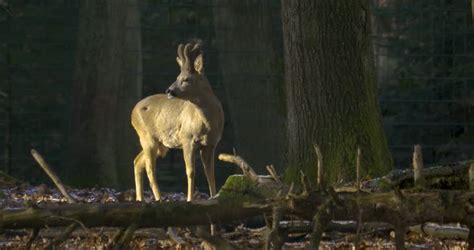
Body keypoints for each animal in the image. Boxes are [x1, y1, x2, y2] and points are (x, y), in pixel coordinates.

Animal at [131, 43, 225, 202]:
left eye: (186, 79)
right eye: (177, 77)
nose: (169, 90)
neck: (208, 123)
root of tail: (132, 112)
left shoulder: (211, 144)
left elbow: (210, 173)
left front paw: (214, 197)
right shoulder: (187, 138)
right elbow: (190, 171)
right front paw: (189, 199)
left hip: (161, 144)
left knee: (137, 162)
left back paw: (140, 199)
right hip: (147, 137)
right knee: (150, 169)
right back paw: (159, 198)